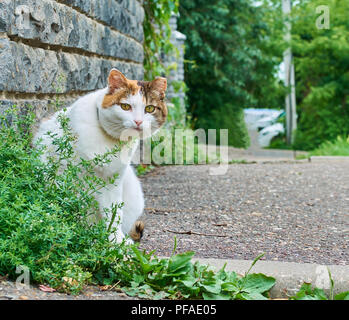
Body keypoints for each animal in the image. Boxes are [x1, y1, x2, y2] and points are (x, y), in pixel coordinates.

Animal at [33, 67, 167, 242]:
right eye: (125, 106)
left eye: (149, 109)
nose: (138, 122)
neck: (110, 142)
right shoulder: (64, 174)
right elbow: (70, 204)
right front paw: (74, 233)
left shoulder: (112, 181)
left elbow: (113, 213)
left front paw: (116, 241)